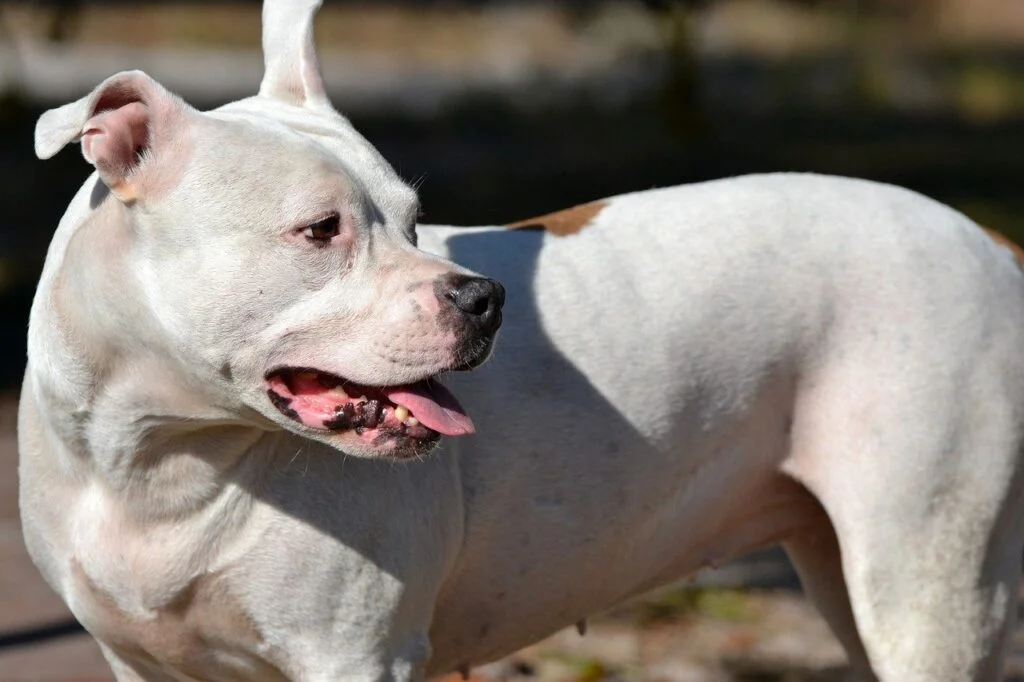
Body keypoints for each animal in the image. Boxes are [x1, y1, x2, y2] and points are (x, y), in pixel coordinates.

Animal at [18, 1, 1024, 679]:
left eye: (413, 220)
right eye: (321, 230)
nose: (484, 297)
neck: (162, 457)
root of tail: (987, 239)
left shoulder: (355, 657)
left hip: (925, 585)